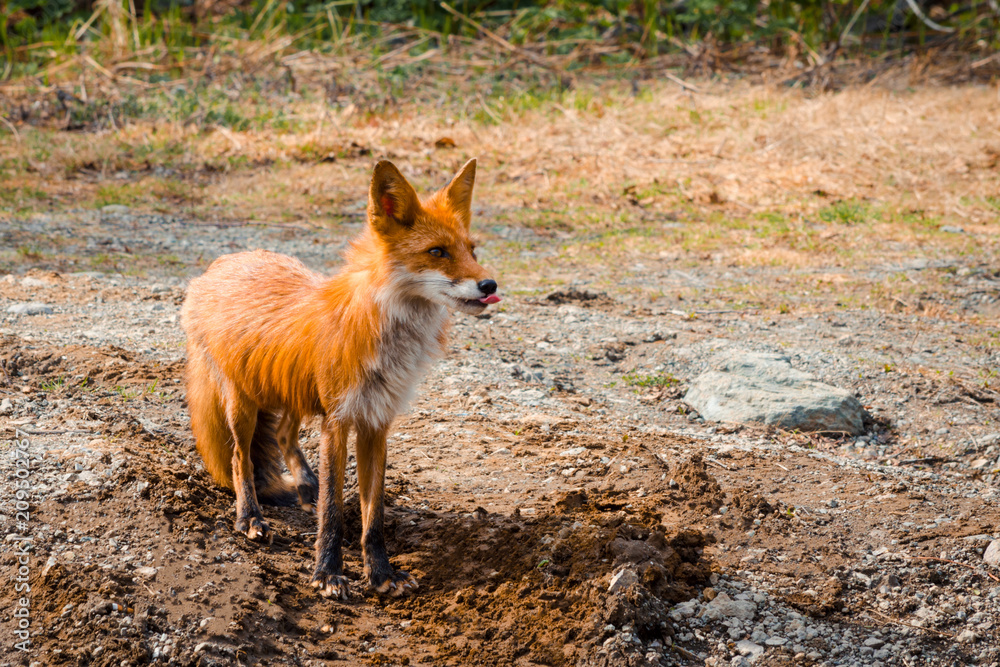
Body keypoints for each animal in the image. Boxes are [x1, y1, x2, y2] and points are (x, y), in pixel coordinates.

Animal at [180, 158, 500, 598]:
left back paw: (304, 486)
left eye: (472, 250)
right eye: (437, 252)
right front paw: (327, 574)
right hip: (243, 402)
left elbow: (373, 515)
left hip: (293, 394)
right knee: (238, 458)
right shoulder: (338, 422)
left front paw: (381, 573)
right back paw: (250, 518)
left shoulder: (376, 422)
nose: (490, 285)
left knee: (283, 436)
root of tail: (224, 261)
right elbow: (333, 510)